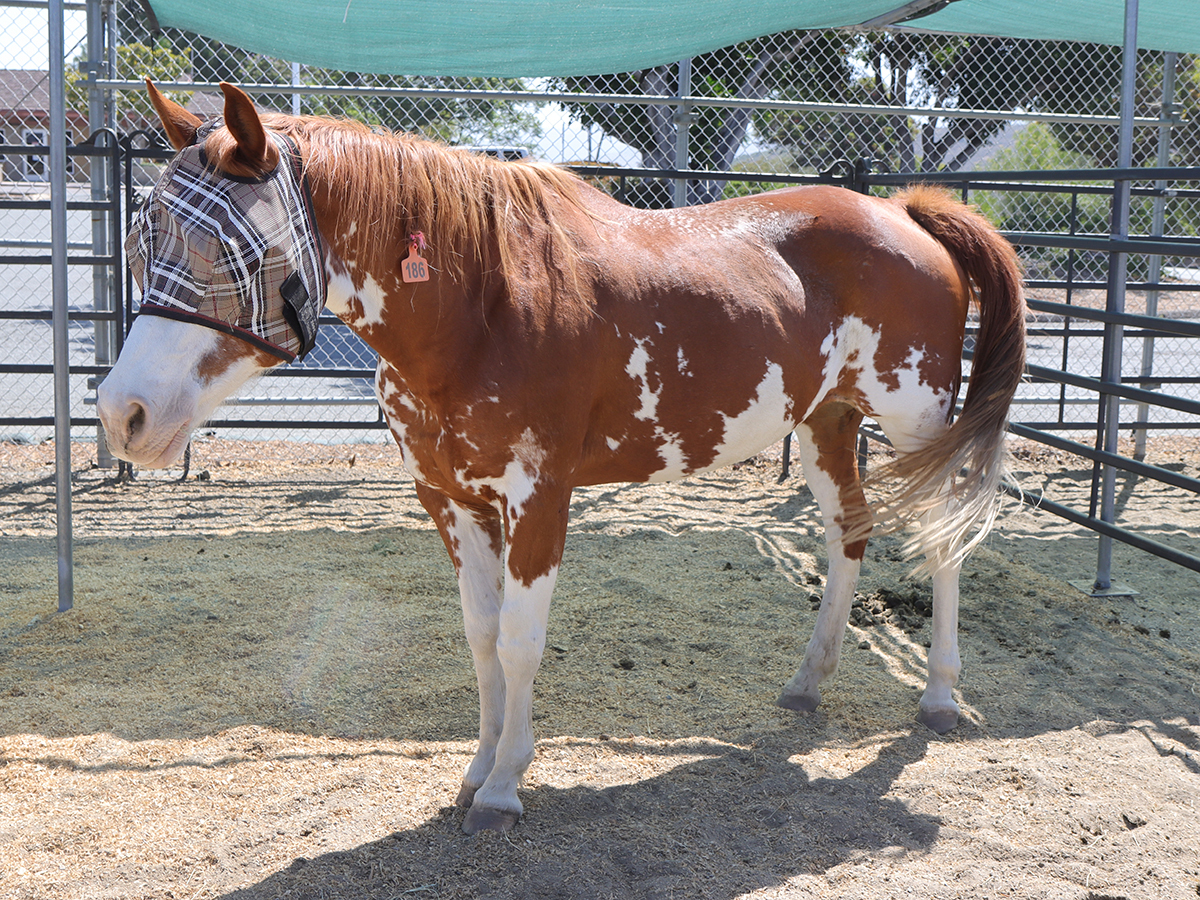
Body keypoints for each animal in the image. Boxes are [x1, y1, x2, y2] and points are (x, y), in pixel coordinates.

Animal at [98, 81, 1027, 834]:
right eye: (144, 235)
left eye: (233, 250)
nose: (122, 414)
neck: (479, 305)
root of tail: (904, 213)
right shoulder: (450, 499)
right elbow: (479, 636)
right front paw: (476, 770)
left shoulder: (538, 499)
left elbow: (519, 640)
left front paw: (506, 785)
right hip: (829, 423)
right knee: (847, 534)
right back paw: (809, 681)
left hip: (915, 423)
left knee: (942, 544)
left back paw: (940, 696)